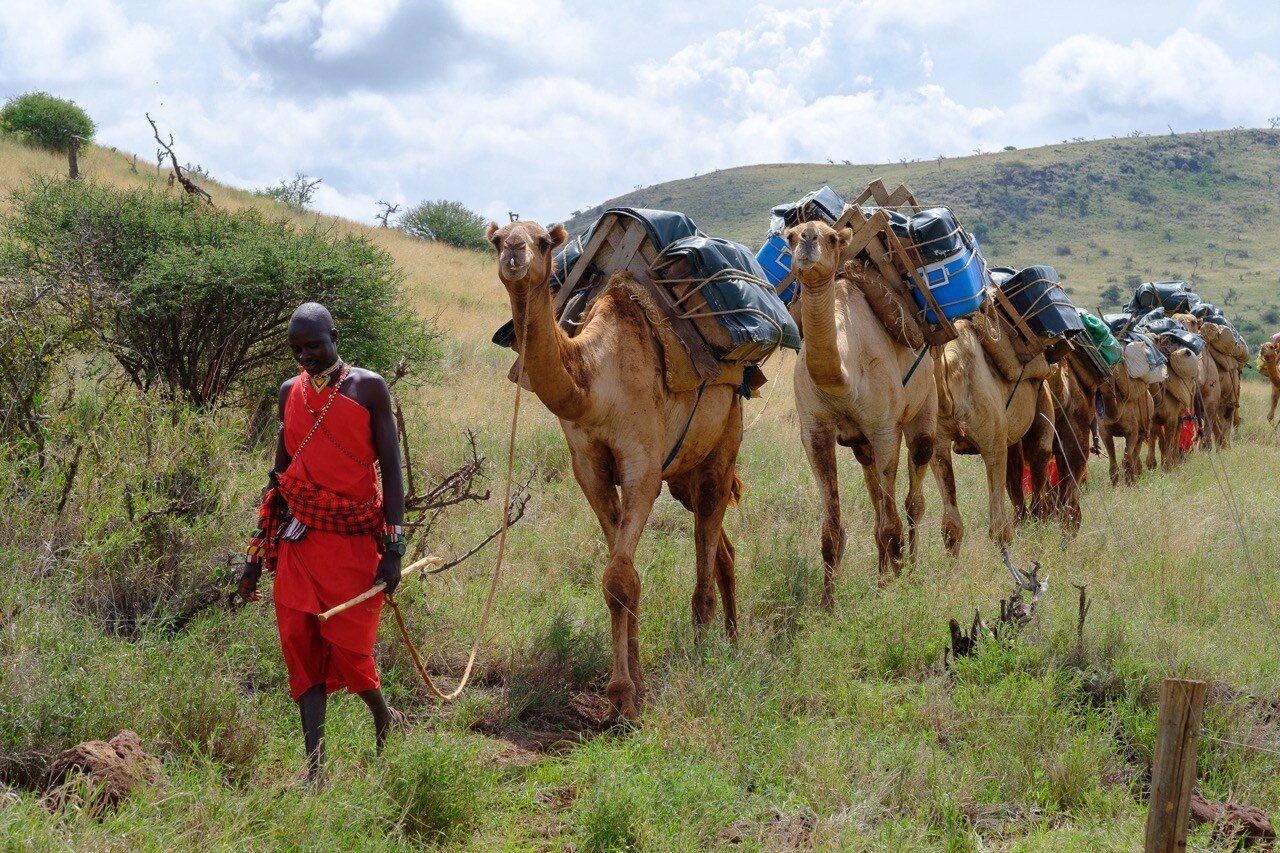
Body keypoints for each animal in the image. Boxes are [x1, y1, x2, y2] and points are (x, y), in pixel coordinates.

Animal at [486, 217, 742, 717]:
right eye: (498, 237)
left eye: (543, 241)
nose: (514, 253)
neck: (594, 380)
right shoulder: (589, 466)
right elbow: (622, 576)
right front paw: (635, 684)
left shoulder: (642, 465)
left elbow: (620, 579)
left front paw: (622, 698)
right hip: (685, 472)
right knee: (721, 544)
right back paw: (732, 639)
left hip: (724, 443)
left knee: (708, 527)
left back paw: (703, 653)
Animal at [783, 220, 936, 604]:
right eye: (790, 236)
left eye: (832, 238)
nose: (807, 239)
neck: (844, 376)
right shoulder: (815, 430)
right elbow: (832, 531)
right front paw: (829, 605)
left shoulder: (884, 428)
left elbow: (892, 525)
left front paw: (895, 596)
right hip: (861, 444)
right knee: (879, 506)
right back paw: (882, 578)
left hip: (925, 408)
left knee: (912, 500)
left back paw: (910, 572)